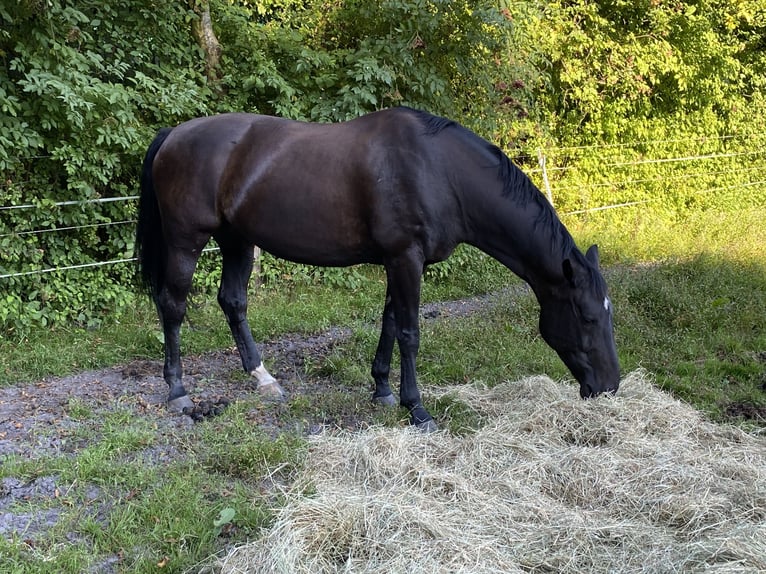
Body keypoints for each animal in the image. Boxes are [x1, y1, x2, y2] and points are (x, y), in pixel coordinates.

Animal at [135, 108, 620, 432]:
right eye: (587, 317)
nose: (609, 387)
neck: (440, 171)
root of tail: (175, 133)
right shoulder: (406, 258)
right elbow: (410, 331)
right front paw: (417, 409)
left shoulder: (397, 261)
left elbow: (389, 323)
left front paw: (384, 390)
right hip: (186, 240)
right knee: (172, 306)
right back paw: (178, 393)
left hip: (237, 240)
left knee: (233, 301)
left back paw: (263, 379)